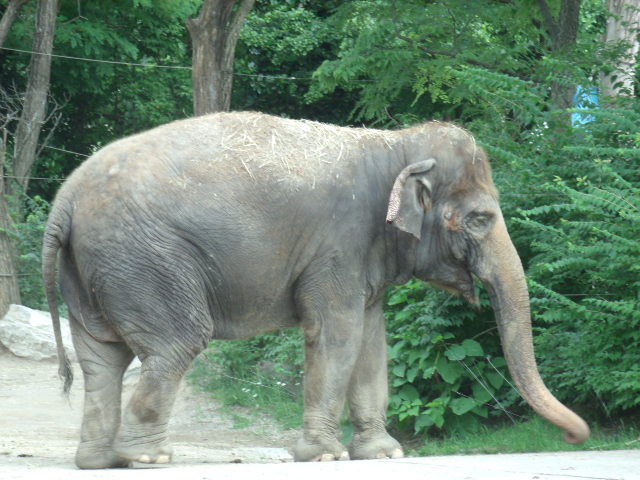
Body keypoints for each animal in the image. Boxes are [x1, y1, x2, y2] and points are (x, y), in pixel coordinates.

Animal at [42, 111, 589, 469]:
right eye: (479, 219)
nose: (573, 437)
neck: (395, 145)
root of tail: (63, 202)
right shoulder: (339, 245)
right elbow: (337, 332)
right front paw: (324, 456)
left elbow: (372, 340)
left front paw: (383, 454)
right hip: (145, 261)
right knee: (175, 344)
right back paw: (149, 458)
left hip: (97, 271)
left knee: (101, 356)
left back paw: (99, 461)